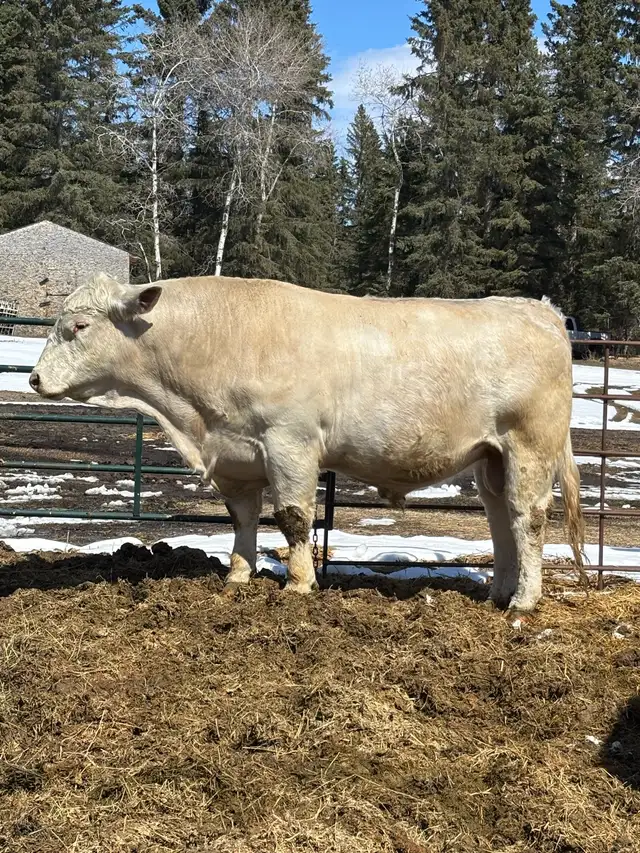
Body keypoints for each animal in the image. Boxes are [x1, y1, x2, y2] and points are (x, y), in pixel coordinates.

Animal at [29, 273, 584, 612]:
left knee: (528, 517)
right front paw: (238, 576)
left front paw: (298, 583)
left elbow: (294, 516)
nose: (33, 378)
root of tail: (540, 310)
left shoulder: (288, 442)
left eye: (78, 325)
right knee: (499, 520)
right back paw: (498, 594)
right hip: (491, 458)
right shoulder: (237, 456)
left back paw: (524, 601)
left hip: (530, 446)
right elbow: (243, 519)